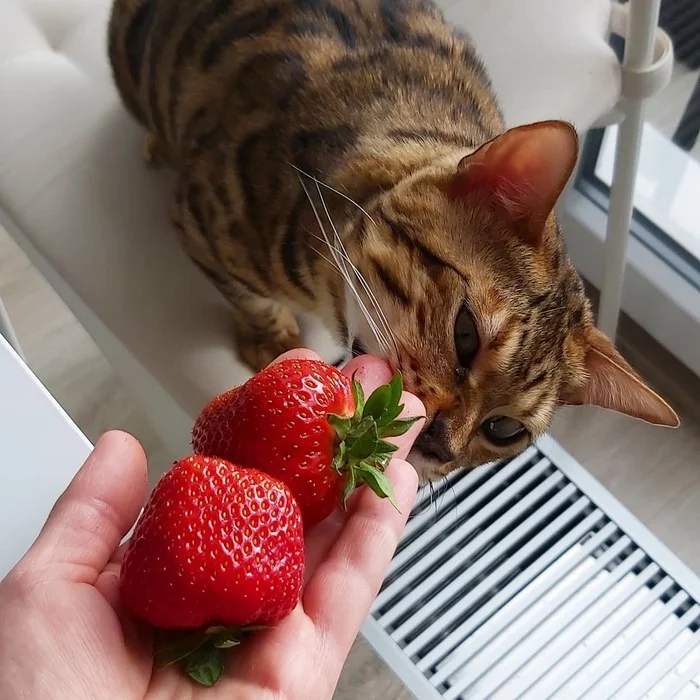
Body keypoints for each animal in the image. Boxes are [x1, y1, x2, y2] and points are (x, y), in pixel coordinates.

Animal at [108, 0, 680, 478]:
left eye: (503, 429)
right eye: (465, 333)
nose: (438, 446)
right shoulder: (198, 216)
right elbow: (248, 296)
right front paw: (270, 337)